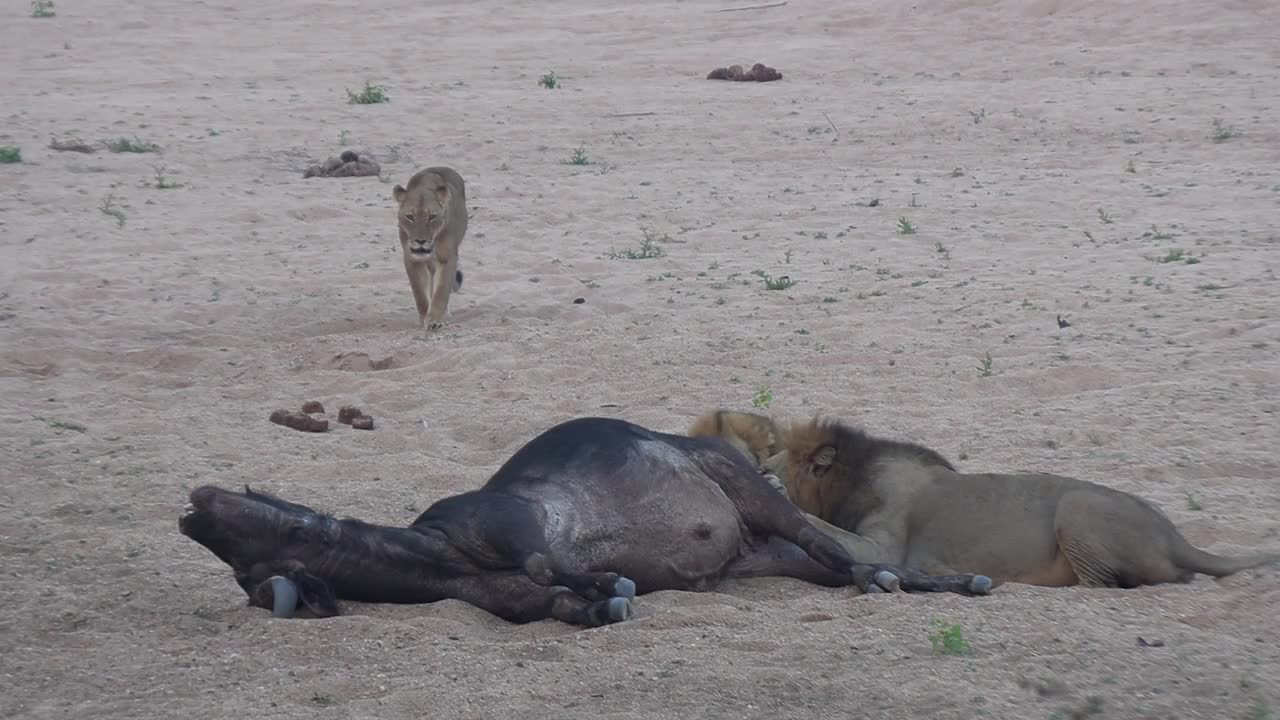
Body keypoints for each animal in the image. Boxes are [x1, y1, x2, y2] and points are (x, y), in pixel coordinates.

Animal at [177, 412, 988, 625]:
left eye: (259, 513)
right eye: (250, 577)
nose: (193, 508)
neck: (442, 556)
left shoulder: (507, 518)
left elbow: (548, 560)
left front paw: (610, 585)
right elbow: (558, 601)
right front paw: (601, 602)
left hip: (748, 491)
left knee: (831, 547)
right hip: (770, 560)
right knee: (839, 566)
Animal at [394, 165, 471, 327]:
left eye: (432, 217)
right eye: (410, 217)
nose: (420, 241)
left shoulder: (447, 257)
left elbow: (441, 289)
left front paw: (435, 319)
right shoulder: (411, 258)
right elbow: (419, 292)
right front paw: (425, 316)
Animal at [691, 407, 1280, 586]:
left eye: (766, 466)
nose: (757, 473)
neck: (855, 478)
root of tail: (1176, 535)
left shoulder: (885, 546)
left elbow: (822, 529)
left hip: (1079, 507)